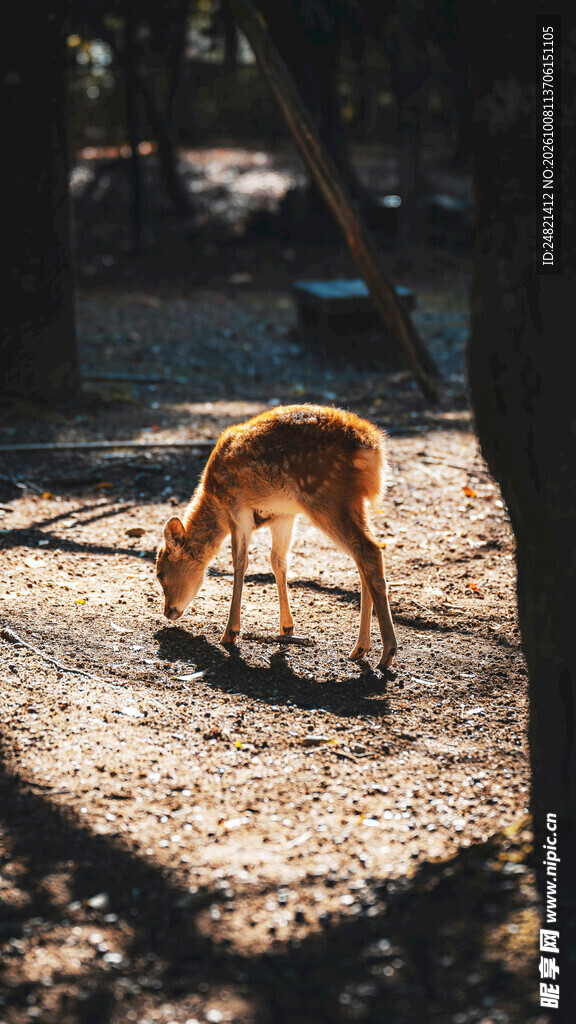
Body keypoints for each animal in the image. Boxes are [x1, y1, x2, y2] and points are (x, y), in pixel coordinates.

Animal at [156, 404, 397, 670]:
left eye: (160, 573)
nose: (168, 611)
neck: (214, 501)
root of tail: (372, 448)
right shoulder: (284, 515)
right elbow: (278, 561)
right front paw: (286, 627)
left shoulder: (237, 509)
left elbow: (240, 562)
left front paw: (230, 633)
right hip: (353, 503)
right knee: (365, 554)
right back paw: (360, 649)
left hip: (327, 498)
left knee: (369, 549)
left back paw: (386, 653)